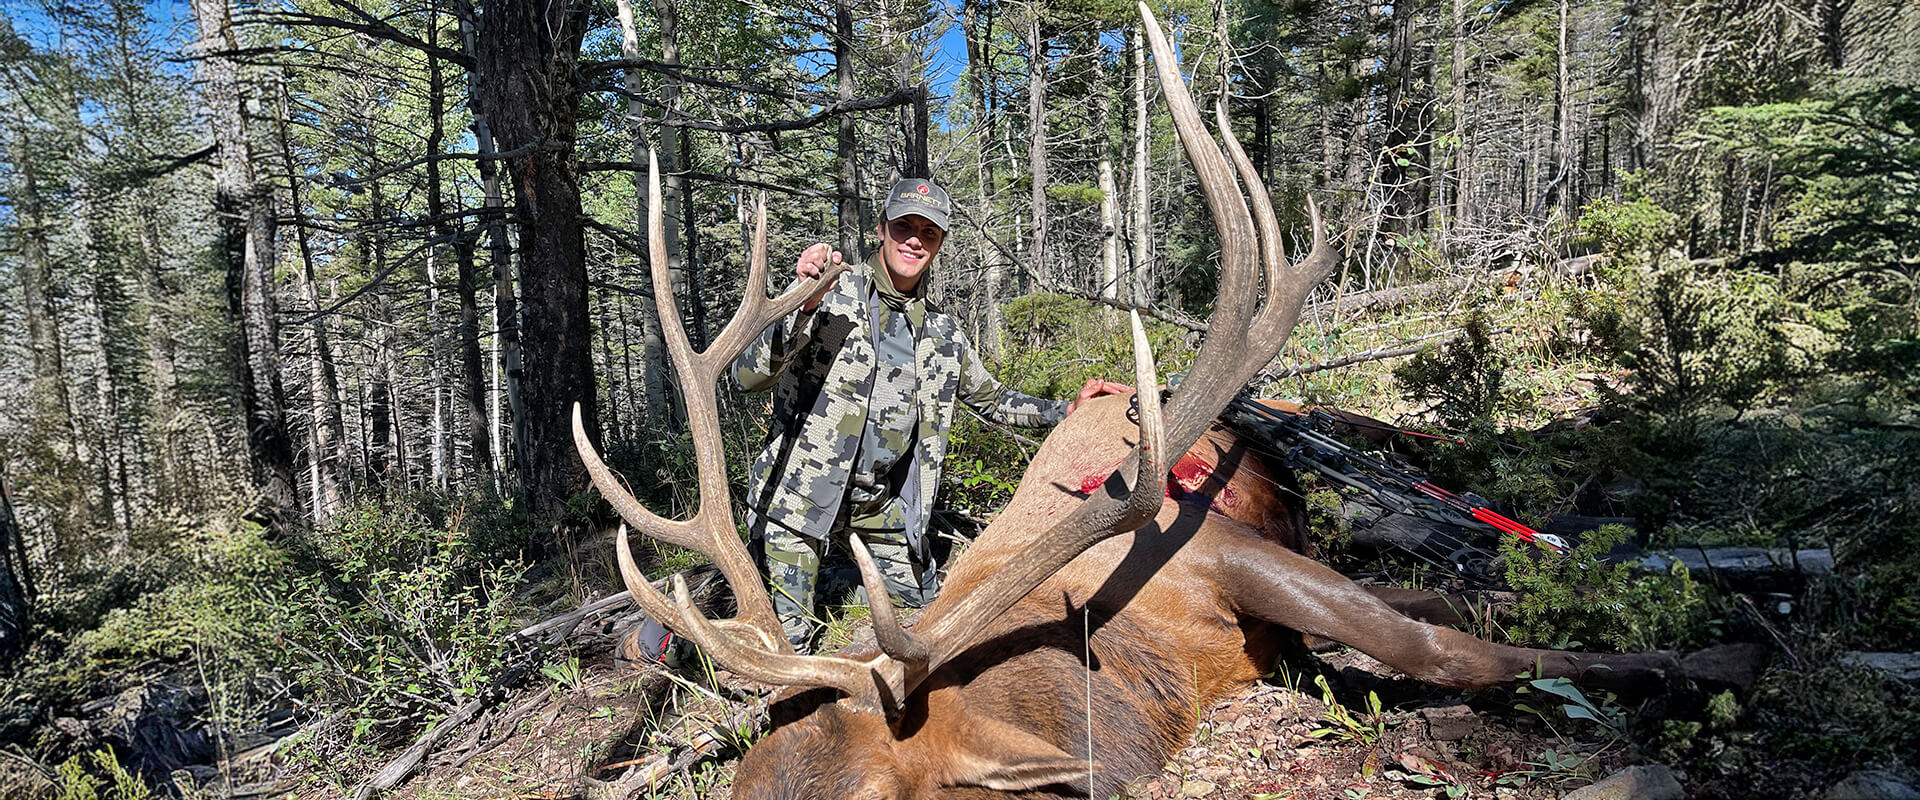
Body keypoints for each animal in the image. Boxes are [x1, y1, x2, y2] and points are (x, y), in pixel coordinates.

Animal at [571, 6, 1695, 797]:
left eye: (868, 799)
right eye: (745, 790)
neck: (1132, 680)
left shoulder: (1220, 550)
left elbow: (1443, 646)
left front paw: (1695, 656)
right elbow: (1435, 619)